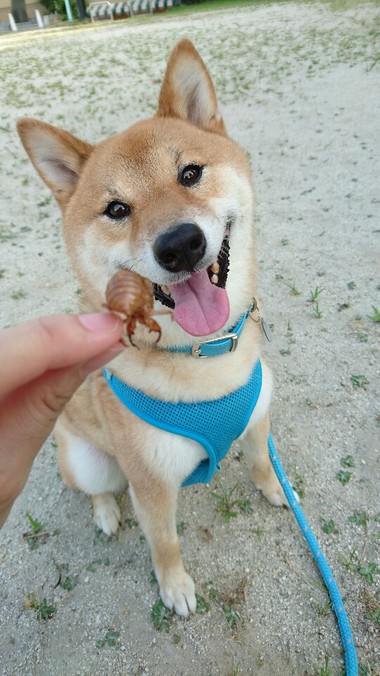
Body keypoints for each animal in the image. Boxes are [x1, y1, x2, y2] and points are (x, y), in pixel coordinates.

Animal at [16, 39, 286, 616]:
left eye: (190, 174)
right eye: (117, 208)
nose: (180, 244)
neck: (206, 355)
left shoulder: (257, 415)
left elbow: (259, 459)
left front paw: (276, 487)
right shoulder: (151, 484)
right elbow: (165, 542)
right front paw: (175, 586)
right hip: (89, 460)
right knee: (97, 488)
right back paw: (105, 513)